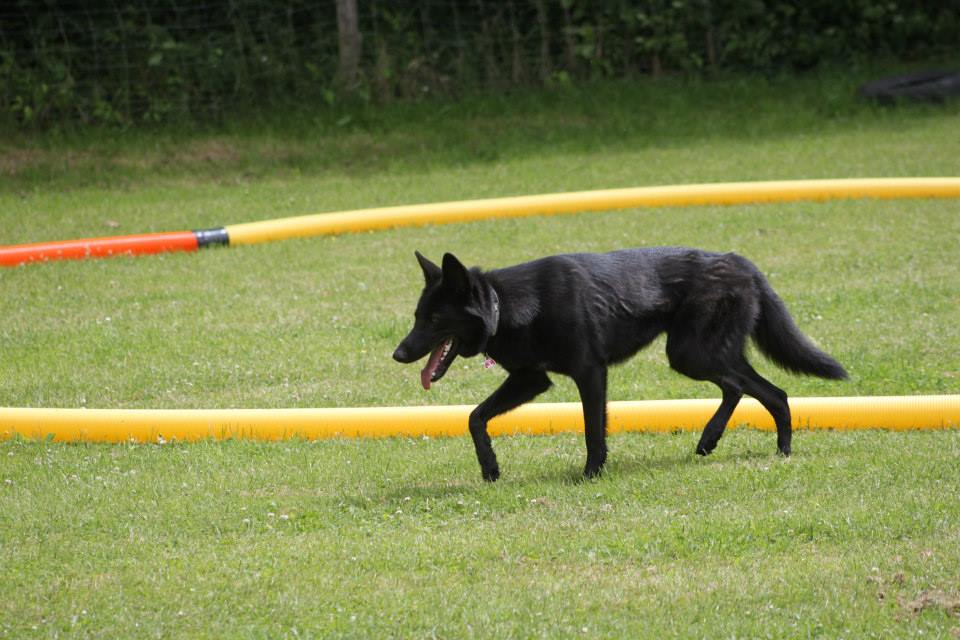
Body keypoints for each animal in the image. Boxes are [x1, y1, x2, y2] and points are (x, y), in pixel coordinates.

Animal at [394, 250, 844, 480]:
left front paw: (592, 473)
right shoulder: (531, 380)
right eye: (417, 316)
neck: (505, 305)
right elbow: (474, 417)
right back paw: (710, 440)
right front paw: (490, 467)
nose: (398, 354)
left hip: (692, 353)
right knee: (742, 386)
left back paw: (782, 450)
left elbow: (594, 430)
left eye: (435, 319)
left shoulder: (590, 373)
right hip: (696, 355)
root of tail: (742, 262)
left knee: (770, 391)